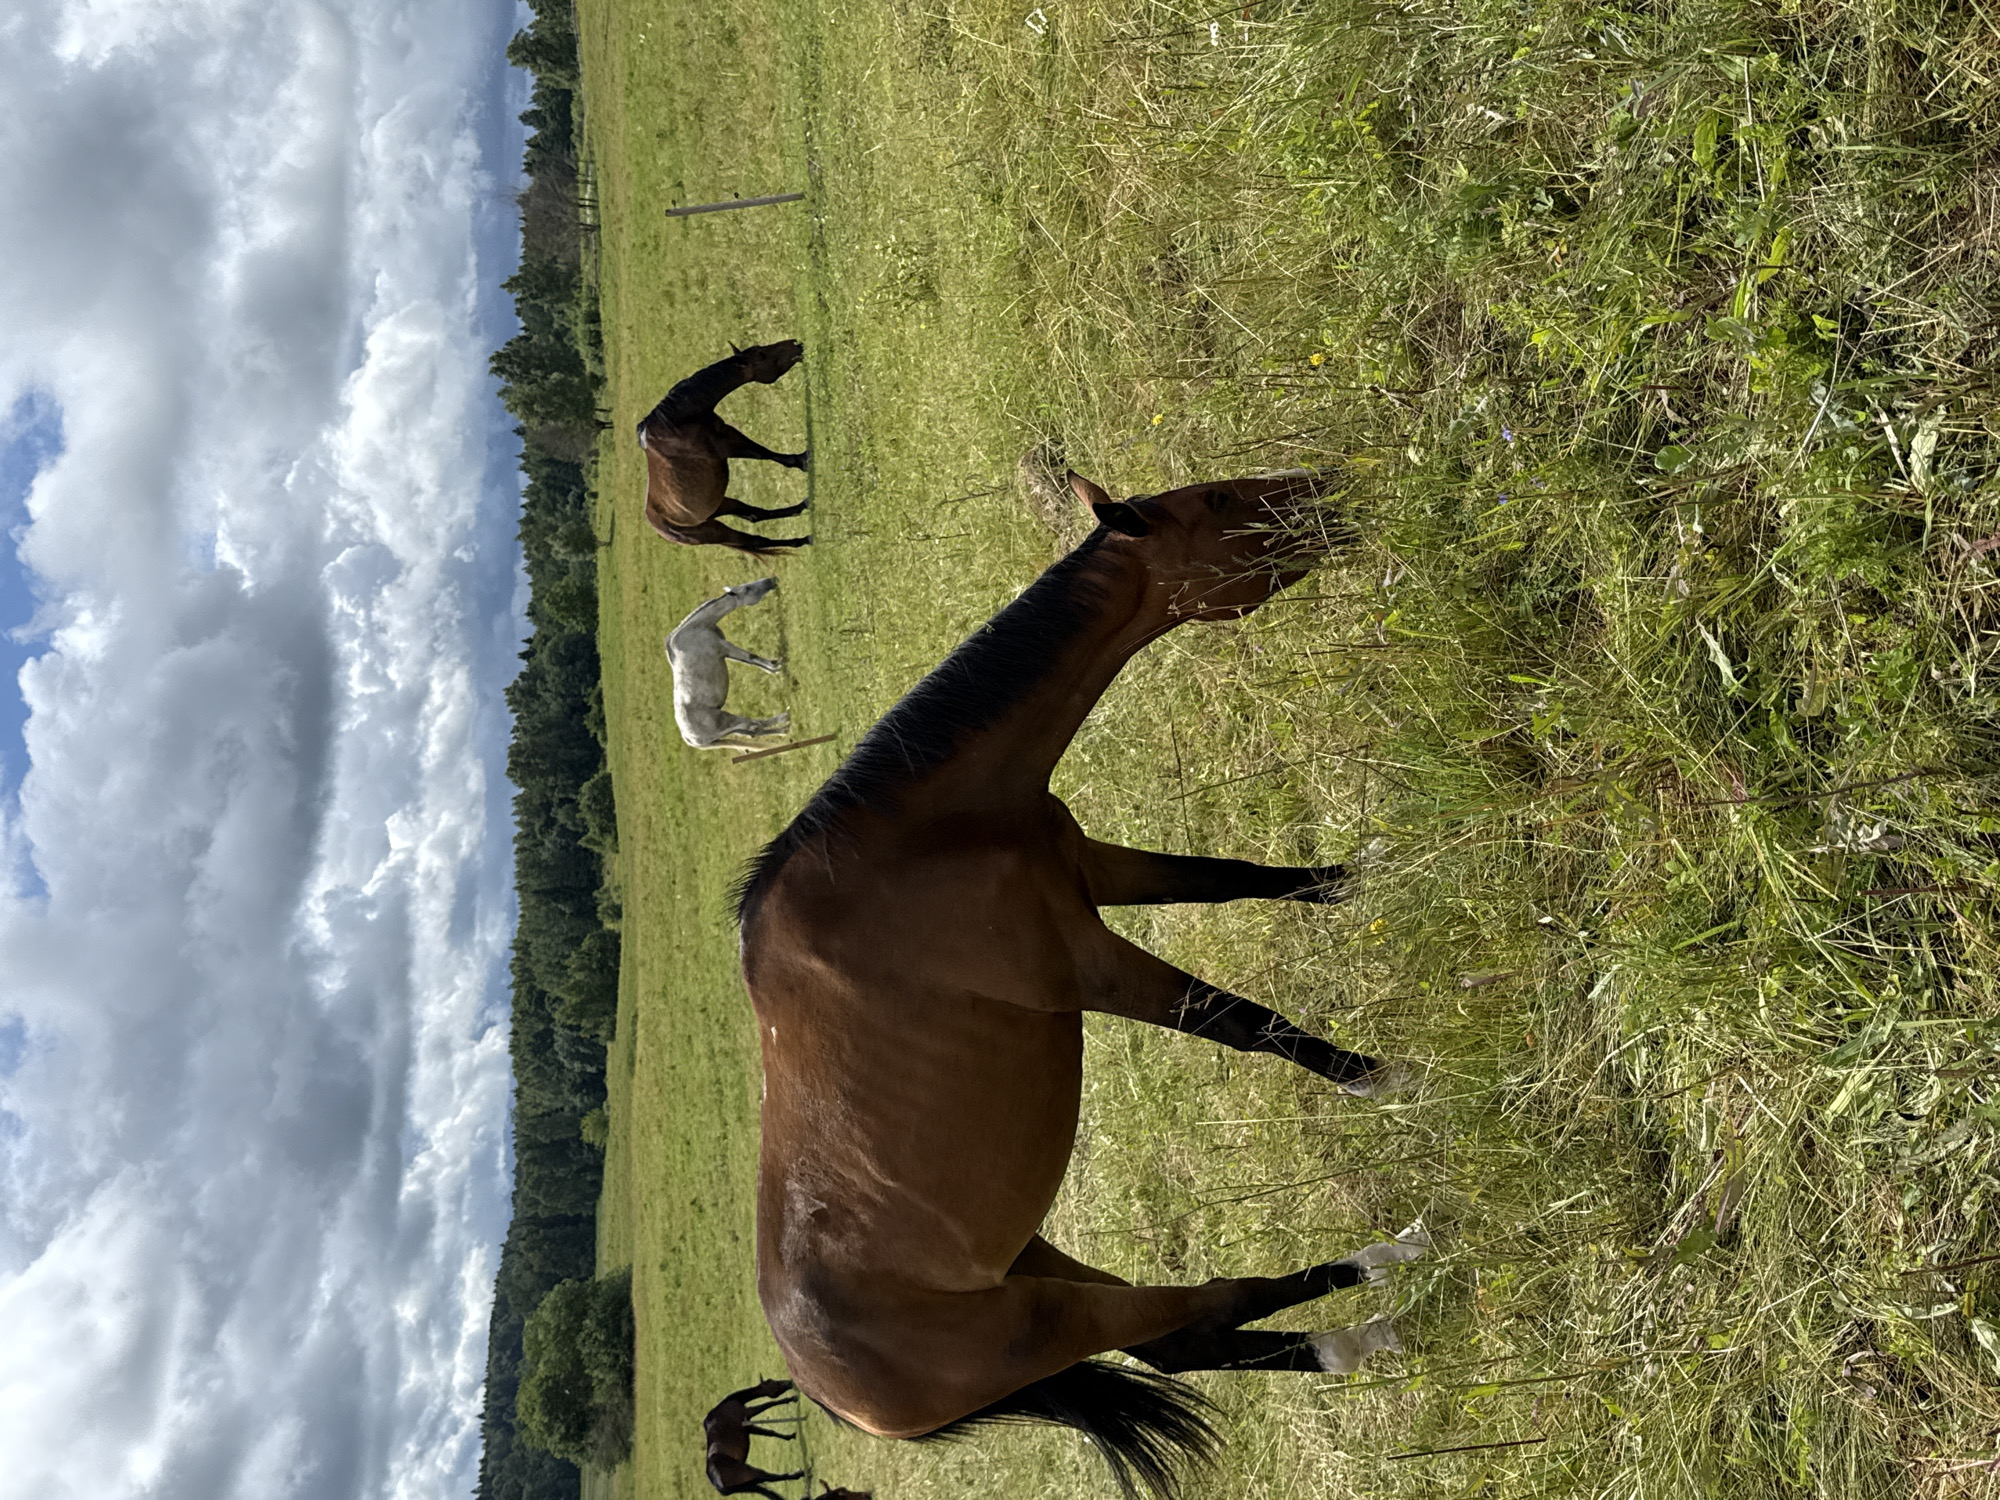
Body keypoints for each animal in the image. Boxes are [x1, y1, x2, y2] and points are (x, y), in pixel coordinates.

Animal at [640, 340, 810, 553]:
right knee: (756, 541)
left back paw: (803, 509)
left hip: (720, 505)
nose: (796, 344)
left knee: (755, 515)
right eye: (761, 355)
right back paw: (804, 539)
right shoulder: (725, 445)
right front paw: (804, 460)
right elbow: (764, 453)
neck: (676, 422)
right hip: (713, 531)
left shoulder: (728, 433)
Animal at [668, 577, 790, 749]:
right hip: (728, 721)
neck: (695, 629)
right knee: (752, 724)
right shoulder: (725, 647)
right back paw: (785, 718)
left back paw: (783, 729)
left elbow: (751, 661)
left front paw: (774, 667)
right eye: (747, 588)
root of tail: (689, 738)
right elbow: (751, 657)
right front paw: (777, 665)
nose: (770, 580)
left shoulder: (726, 651)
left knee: (753, 730)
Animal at [736, 468, 1429, 1498]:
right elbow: (1243, 1022)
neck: (915, 838)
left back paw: (1368, 1323)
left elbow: (1238, 877)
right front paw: (1392, 1082)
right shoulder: (1086, 962)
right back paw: (1388, 1275)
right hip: (1050, 1319)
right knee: (1205, 1311)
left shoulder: (1096, 871)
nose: (1334, 486)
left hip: (1040, 1263)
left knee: (1189, 1341)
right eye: (1221, 503)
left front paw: (1358, 877)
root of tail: (834, 1394)